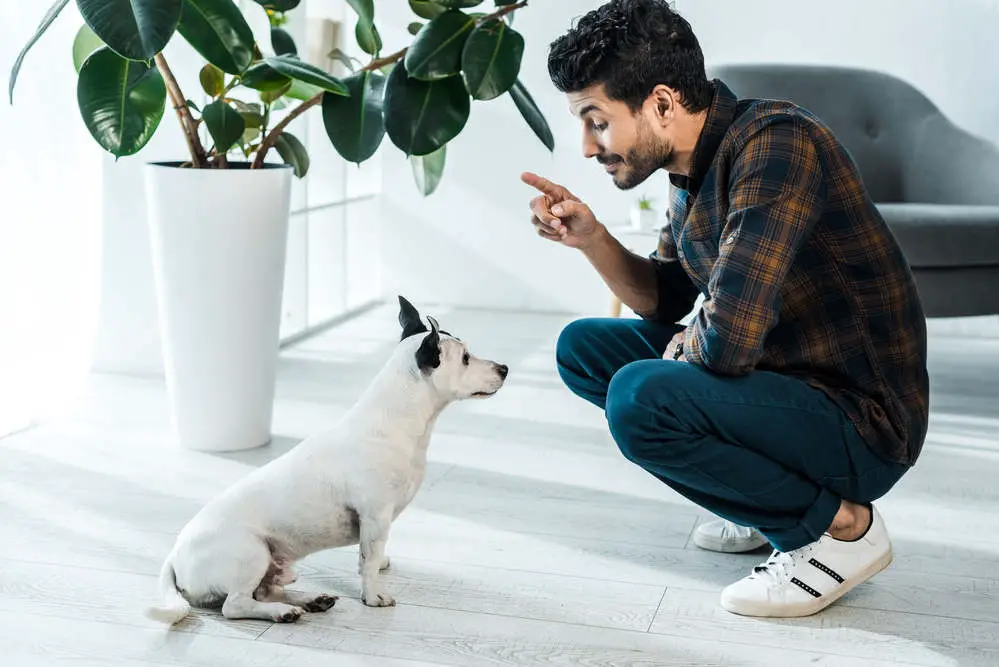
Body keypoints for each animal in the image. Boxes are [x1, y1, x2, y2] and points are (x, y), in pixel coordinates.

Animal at [143, 298, 508, 628]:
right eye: (465, 358)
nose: (504, 369)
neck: (398, 422)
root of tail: (174, 557)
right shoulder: (374, 515)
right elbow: (368, 559)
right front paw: (373, 595)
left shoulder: (377, 523)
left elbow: (372, 554)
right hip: (251, 553)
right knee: (236, 605)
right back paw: (284, 613)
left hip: (273, 565)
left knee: (266, 592)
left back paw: (309, 600)